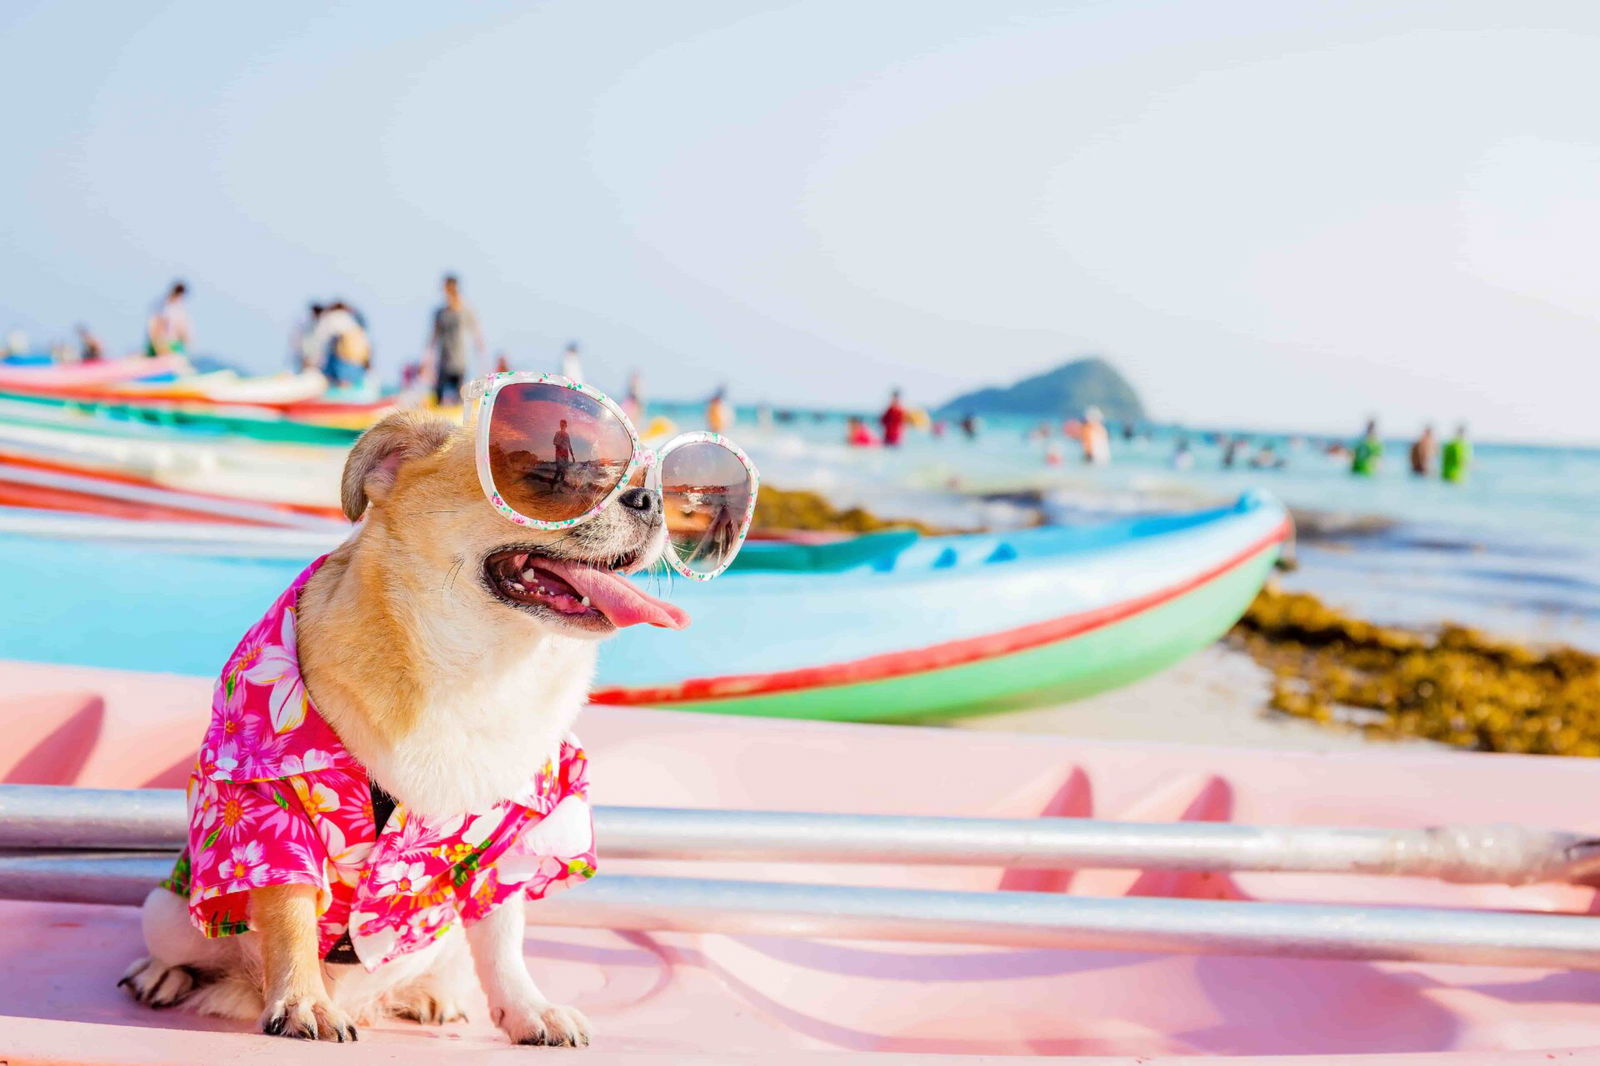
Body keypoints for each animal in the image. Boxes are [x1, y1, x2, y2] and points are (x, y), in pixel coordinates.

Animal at [116, 409, 681, 1043]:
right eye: (548, 475)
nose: (653, 498)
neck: (479, 673)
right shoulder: (269, 811)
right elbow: (289, 912)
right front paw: (303, 1001)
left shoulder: (514, 845)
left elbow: (503, 941)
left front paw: (528, 1009)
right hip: (168, 914)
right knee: (186, 947)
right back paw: (163, 975)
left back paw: (429, 996)